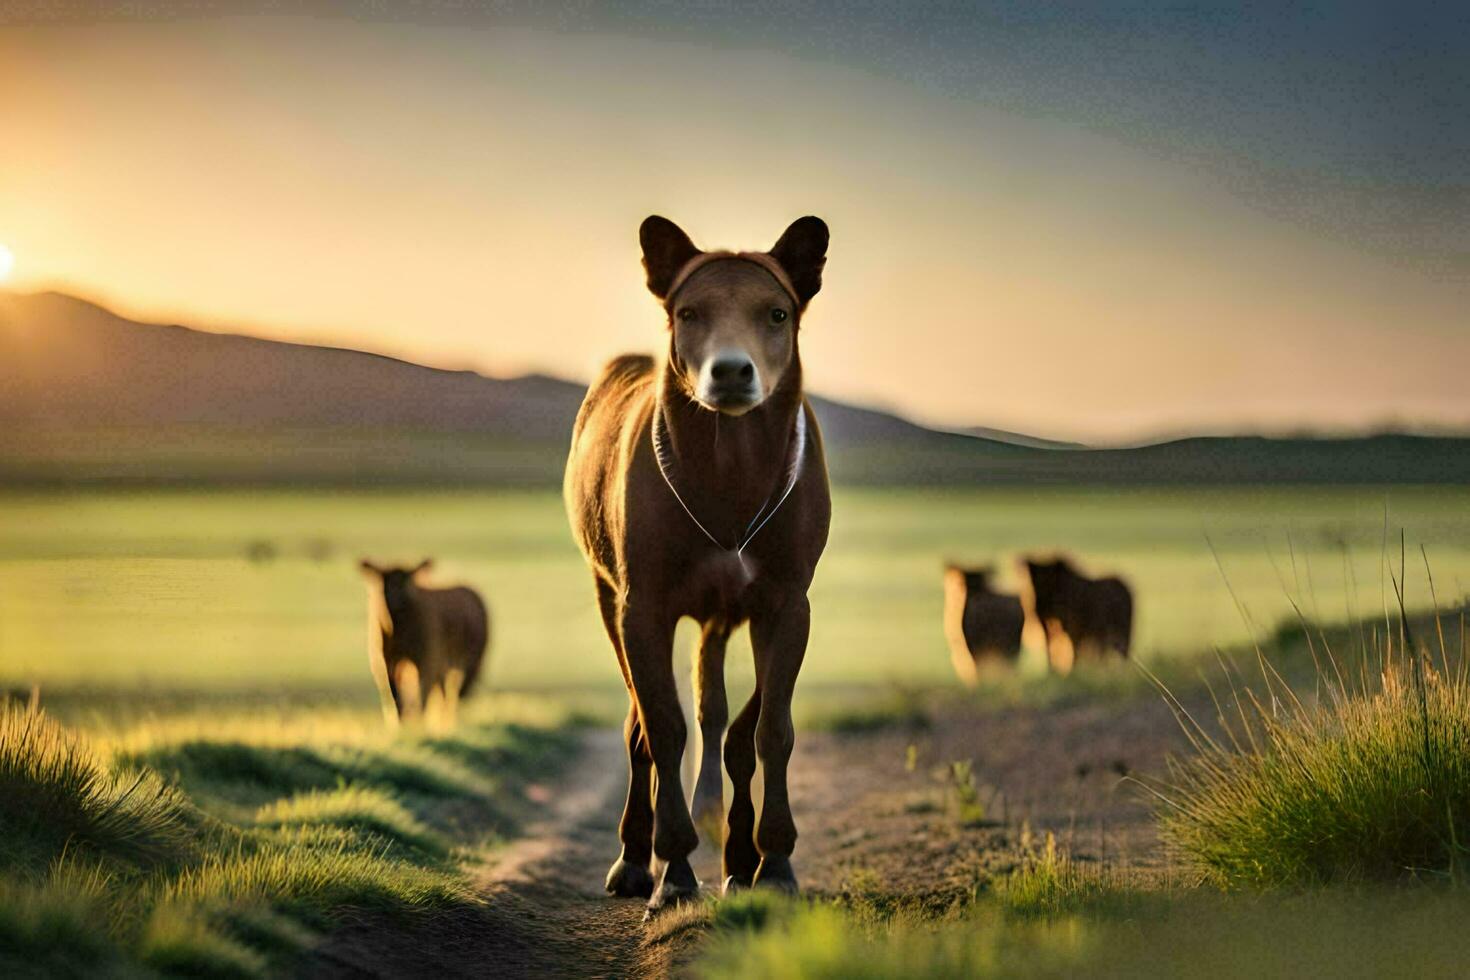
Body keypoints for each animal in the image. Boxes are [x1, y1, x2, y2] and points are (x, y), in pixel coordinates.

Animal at [358, 555, 490, 725]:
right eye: (384, 584)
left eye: (407, 582)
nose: (396, 599)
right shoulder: (386, 660)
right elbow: (395, 694)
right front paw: (401, 723)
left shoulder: (428, 658)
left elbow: (423, 694)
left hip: (468, 661)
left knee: (455, 691)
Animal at [564, 214, 829, 922]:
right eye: (689, 312)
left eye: (776, 312)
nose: (731, 370)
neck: (729, 469)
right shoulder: (643, 606)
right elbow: (663, 728)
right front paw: (676, 870)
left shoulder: (786, 604)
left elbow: (765, 730)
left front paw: (772, 862)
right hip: (607, 597)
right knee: (639, 732)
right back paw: (635, 858)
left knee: (724, 722)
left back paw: (736, 858)